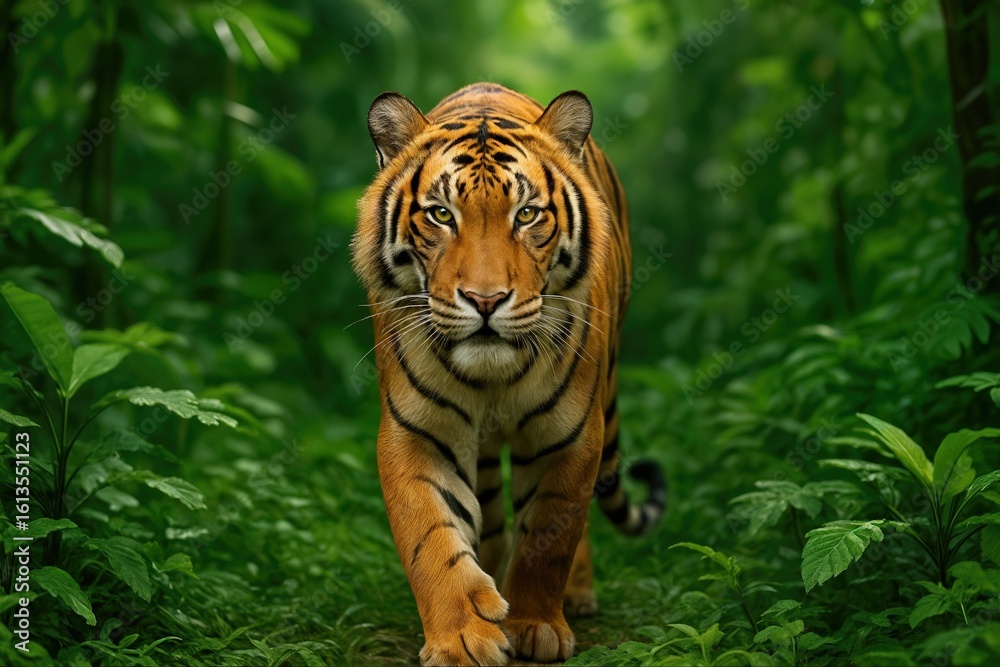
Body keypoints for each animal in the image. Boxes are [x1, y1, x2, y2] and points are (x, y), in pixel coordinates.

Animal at [351, 82, 666, 666]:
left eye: (526, 215)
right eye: (440, 214)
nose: (485, 300)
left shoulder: (570, 434)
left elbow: (549, 536)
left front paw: (536, 627)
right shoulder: (416, 432)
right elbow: (431, 535)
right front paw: (462, 636)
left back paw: (575, 596)